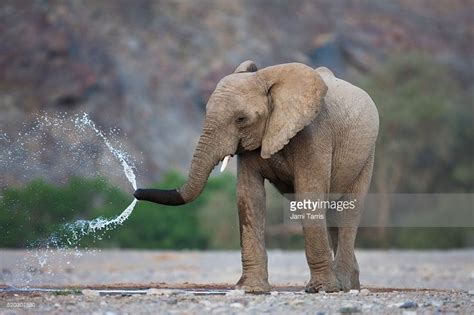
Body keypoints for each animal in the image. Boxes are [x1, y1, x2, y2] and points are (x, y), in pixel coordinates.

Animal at [133, 61, 378, 294]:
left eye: (241, 119)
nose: (136, 191)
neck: (268, 80)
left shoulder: (314, 132)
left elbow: (309, 194)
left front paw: (323, 289)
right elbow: (249, 196)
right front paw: (250, 289)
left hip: (367, 155)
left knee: (348, 211)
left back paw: (344, 285)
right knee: (333, 215)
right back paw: (350, 284)